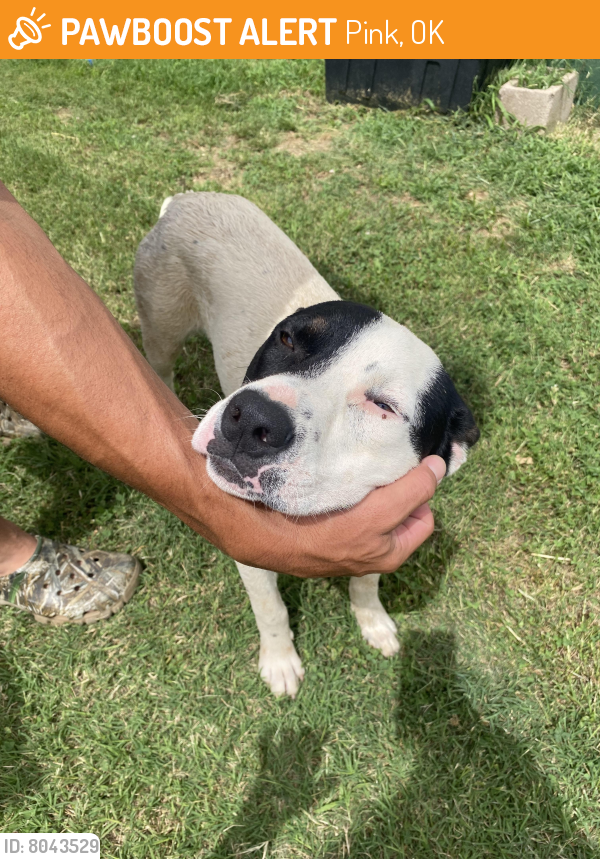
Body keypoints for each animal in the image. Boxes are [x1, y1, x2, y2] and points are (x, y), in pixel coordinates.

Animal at [135, 191, 478, 696]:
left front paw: (373, 621)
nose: (252, 420)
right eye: (287, 338)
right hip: (162, 328)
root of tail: (186, 199)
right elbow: (271, 609)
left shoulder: (383, 529)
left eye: (385, 406)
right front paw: (279, 660)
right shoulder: (248, 546)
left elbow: (366, 584)